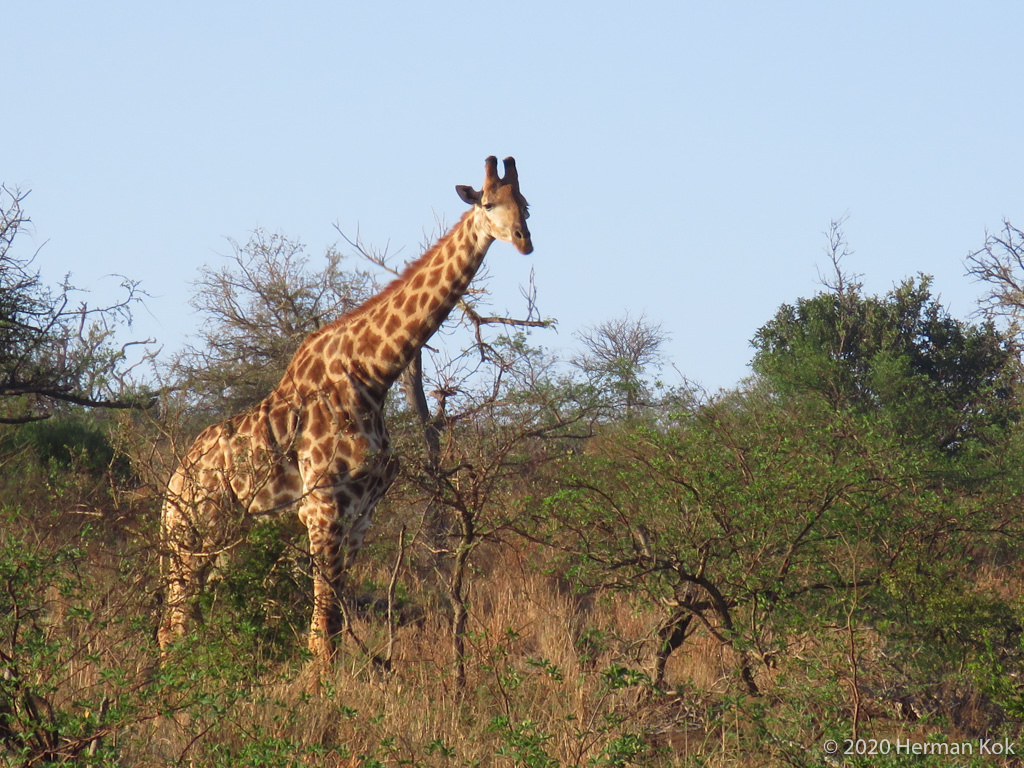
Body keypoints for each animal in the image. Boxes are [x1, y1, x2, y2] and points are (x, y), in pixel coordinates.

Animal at [158, 156, 532, 660]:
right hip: (192, 537)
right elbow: (322, 633)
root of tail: (174, 481)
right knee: (174, 626)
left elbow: (332, 629)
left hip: (224, 544)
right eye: (489, 203)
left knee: (186, 623)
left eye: (526, 204)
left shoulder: (360, 515)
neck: (374, 373)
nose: (524, 240)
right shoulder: (322, 509)